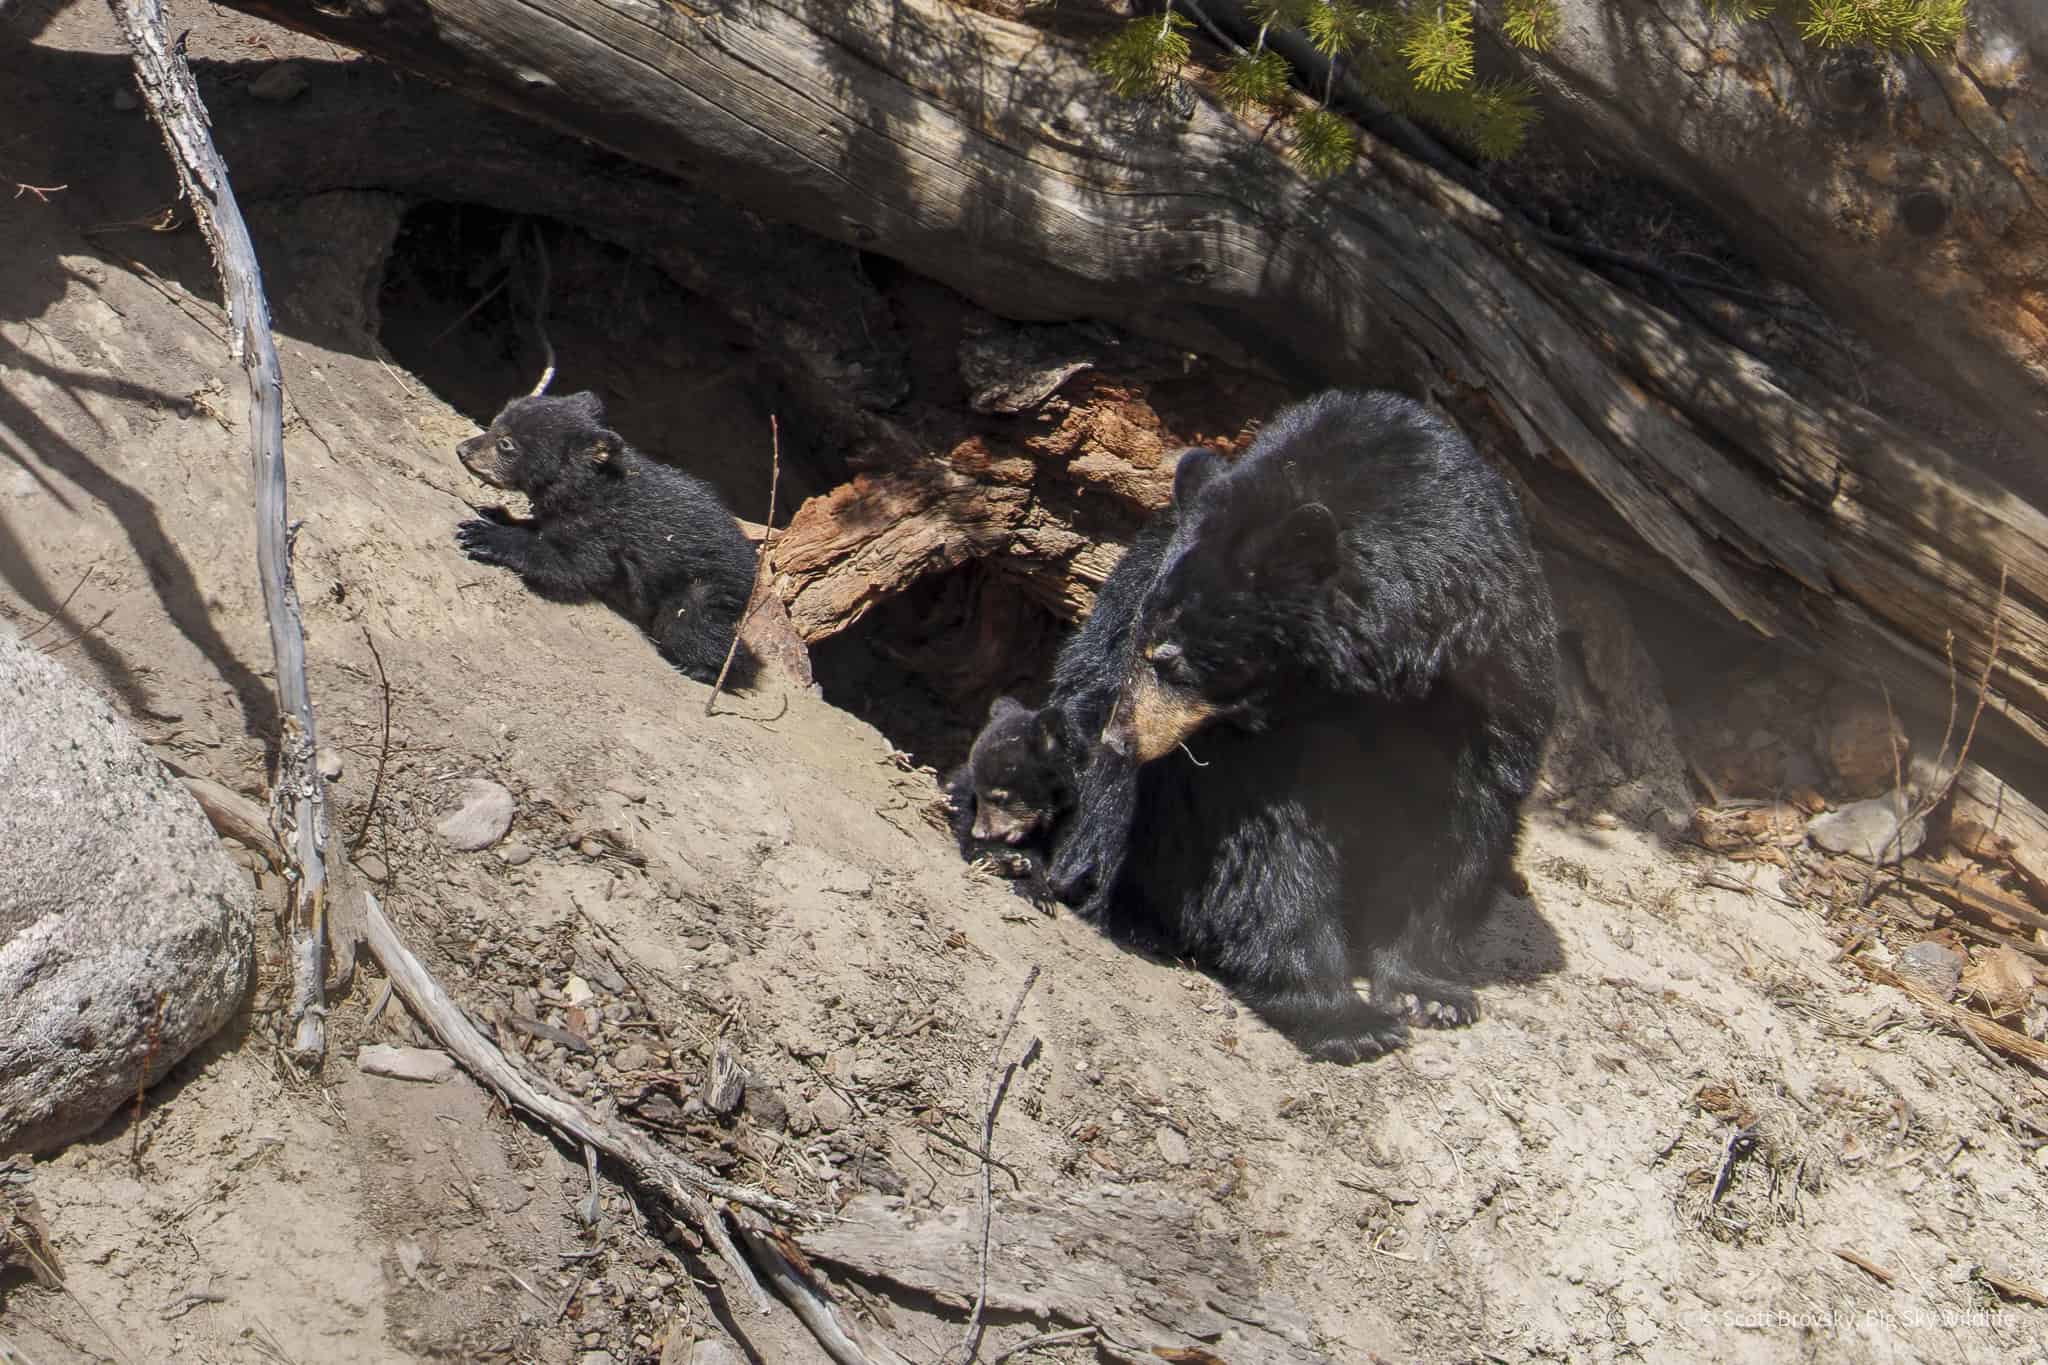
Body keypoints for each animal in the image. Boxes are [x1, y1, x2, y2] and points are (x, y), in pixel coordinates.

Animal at [453, 391, 759, 687]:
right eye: (494, 423)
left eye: (506, 444)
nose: (462, 450)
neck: (583, 487)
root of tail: (751, 568)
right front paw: (496, 513)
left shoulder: (601, 528)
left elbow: (576, 566)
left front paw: (484, 535)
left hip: (703, 585)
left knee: (692, 626)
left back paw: (703, 669)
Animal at [1055, 389, 1560, 1063]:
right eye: (1143, 640)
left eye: (1171, 659)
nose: (1121, 740)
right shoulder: (1253, 745)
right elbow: (1264, 845)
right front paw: (1348, 1020)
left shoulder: (1491, 669)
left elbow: (1458, 824)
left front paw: (1428, 992)